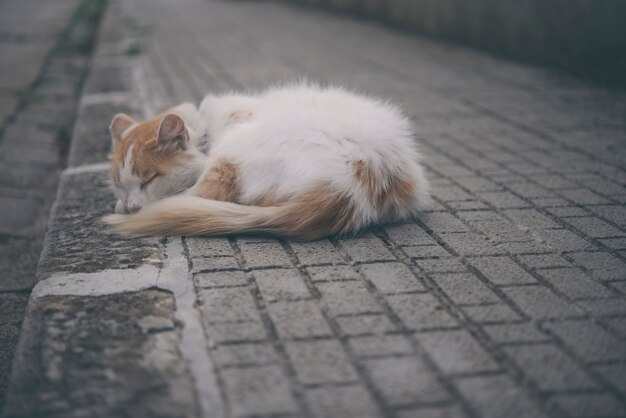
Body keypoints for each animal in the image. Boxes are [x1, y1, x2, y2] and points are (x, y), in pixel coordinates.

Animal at [106, 83, 428, 240]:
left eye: (149, 180)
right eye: (119, 185)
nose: (132, 204)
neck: (207, 128)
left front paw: (125, 207)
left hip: (234, 151)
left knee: (203, 194)